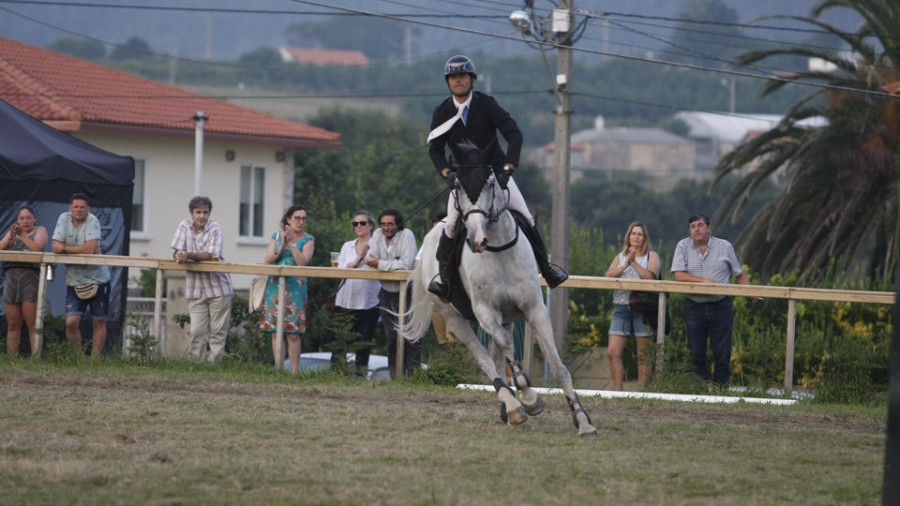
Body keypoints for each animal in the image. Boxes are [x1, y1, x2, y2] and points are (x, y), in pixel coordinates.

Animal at [400, 163, 596, 438]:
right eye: (459, 187)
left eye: (491, 184)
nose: (476, 239)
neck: (498, 248)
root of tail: (428, 239)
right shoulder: (486, 312)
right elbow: (506, 350)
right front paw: (529, 397)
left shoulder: (534, 309)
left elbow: (558, 367)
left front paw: (583, 421)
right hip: (452, 315)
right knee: (485, 357)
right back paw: (514, 405)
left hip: (506, 316)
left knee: (496, 354)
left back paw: (510, 409)